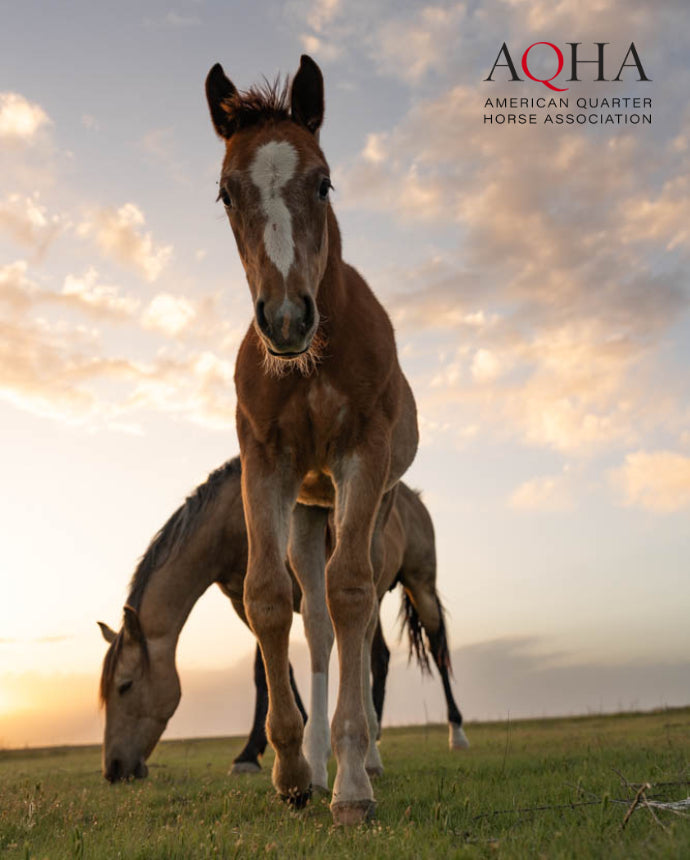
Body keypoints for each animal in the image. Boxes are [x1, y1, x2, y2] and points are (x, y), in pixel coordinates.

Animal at [98, 458, 468, 782]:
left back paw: (456, 733)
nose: (113, 768)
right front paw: (281, 742)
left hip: (420, 586)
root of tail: (413, 496)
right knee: (379, 657)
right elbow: (272, 670)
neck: (234, 521)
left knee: (437, 649)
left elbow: (268, 671)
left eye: (125, 686)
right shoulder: (245, 603)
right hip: (372, 595)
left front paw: (258, 753)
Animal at [206, 54, 419, 824]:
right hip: (307, 508)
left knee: (360, 608)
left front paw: (351, 790)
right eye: (227, 193)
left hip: (376, 501)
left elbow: (354, 590)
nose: (286, 318)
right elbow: (269, 596)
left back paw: (366, 760)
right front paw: (293, 771)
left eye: (323, 180)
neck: (314, 359)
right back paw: (323, 758)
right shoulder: (266, 462)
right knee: (320, 621)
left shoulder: (364, 454)